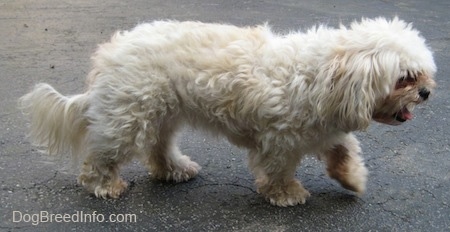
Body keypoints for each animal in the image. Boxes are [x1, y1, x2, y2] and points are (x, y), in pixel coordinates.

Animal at [18, 18, 436, 207]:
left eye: (422, 73)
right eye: (405, 78)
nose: (427, 92)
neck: (329, 74)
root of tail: (108, 53)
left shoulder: (325, 128)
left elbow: (345, 150)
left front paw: (353, 179)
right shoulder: (280, 138)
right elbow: (279, 169)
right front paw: (286, 193)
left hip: (163, 115)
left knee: (158, 149)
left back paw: (174, 169)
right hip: (129, 118)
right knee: (101, 158)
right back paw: (105, 185)